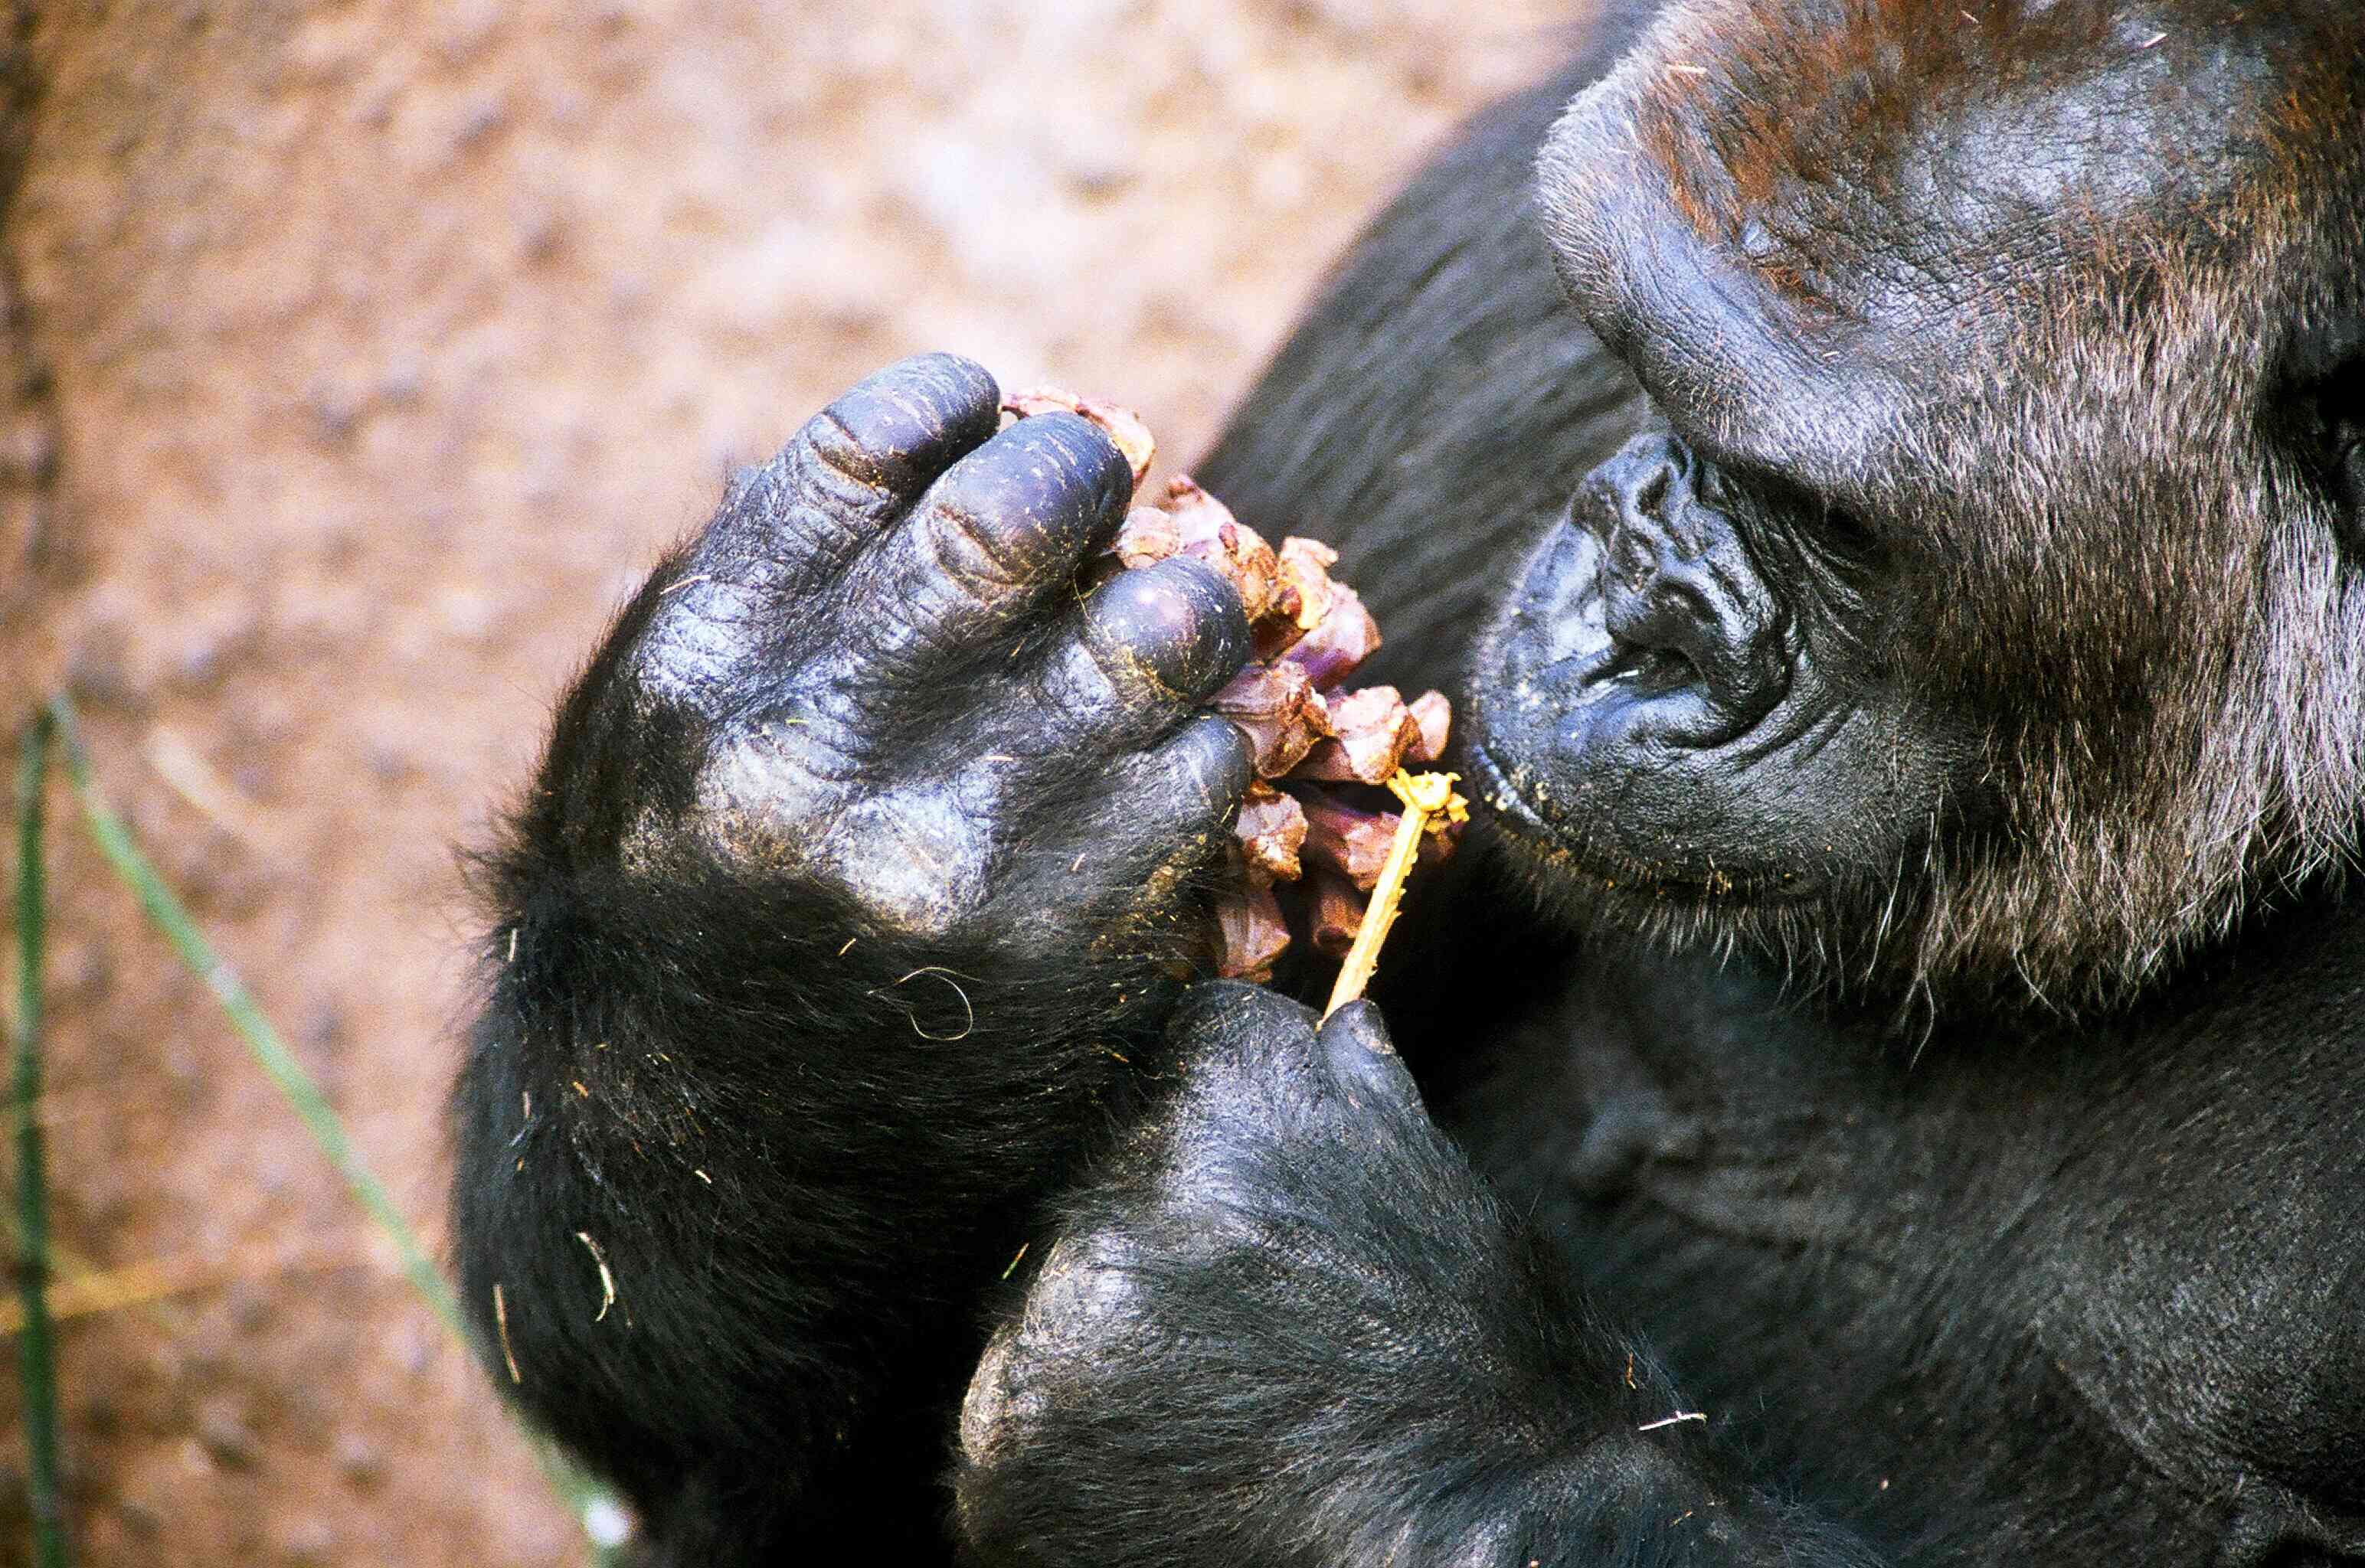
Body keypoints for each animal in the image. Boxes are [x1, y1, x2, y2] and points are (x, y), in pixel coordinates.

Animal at [447, 6, 2365, 1560]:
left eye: (1820, 519)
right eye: (1630, 365)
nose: (1623, 599)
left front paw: (1307, 1369)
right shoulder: (1505, 250)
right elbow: (724, 1430)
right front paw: (797, 889)